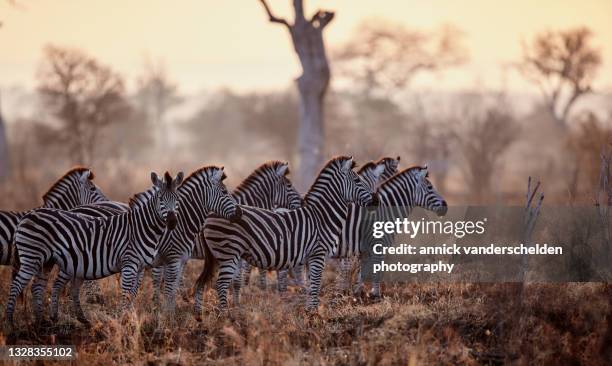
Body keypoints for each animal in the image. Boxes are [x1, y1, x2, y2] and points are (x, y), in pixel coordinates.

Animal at [151, 160, 304, 312]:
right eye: (289, 185)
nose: (302, 203)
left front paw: (238, 302)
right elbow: (239, 280)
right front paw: (239, 302)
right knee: (158, 276)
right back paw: (158, 303)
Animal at [196, 156, 378, 314]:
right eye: (357, 181)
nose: (376, 200)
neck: (321, 216)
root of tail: (209, 216)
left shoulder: (309, 257)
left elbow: (310, 285)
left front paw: (308, 311)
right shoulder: (318, 254)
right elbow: (315, 285)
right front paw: (314, 314)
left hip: (218, 257)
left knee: (201, 282)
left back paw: (200, 315)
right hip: (228, 254)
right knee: (220, 285)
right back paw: (226, 316)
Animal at [338, 166, 448, 298]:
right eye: (430, 187)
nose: (446, 206)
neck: (385, 212)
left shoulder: (363, 251)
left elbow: (361, 273)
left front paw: (356, 292)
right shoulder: (378, 245)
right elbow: (375, 270)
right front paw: (375, 294)